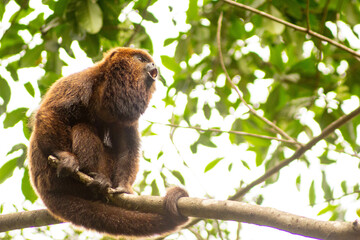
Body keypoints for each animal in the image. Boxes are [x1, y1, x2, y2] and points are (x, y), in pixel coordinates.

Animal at [28, 47, 188, 237]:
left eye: (150, 61)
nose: (154, 65)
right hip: (52, 177)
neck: (107, 89)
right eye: (141, 59)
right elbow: (52, 112)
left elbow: (127, 146)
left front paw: (123, 187)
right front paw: (65, 157)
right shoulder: (79, 81)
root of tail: (42, 189)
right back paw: (90, 175)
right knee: (82, 127)